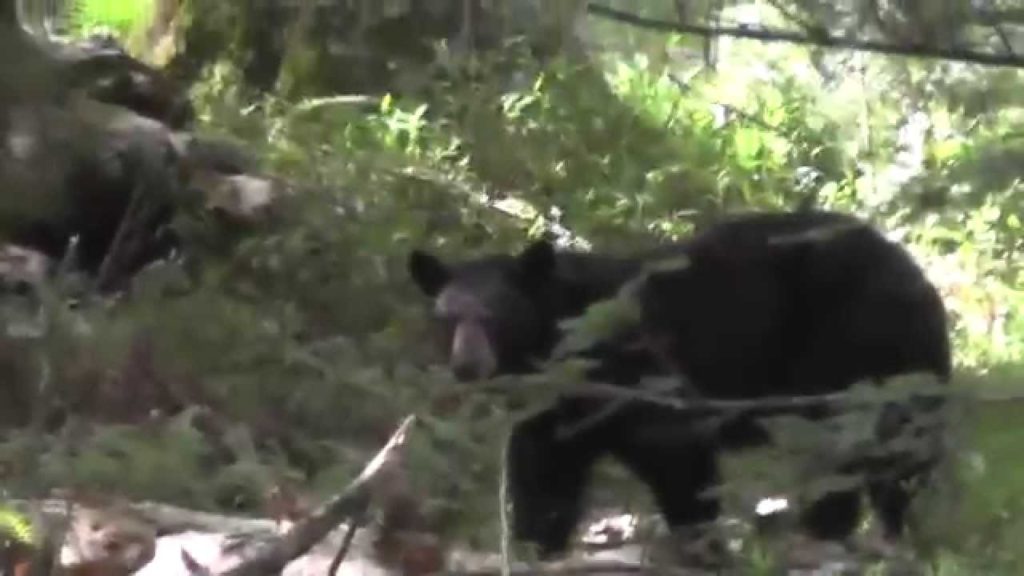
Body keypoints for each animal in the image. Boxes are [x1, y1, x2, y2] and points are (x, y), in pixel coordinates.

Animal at [406, 209, 951, 559]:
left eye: (496, 316)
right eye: (446, 318)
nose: (467, 365)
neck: (563, 339)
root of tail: (920, 279)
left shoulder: (634, 365)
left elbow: (674, 448)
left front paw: (703, 548)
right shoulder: (555, 410)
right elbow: (544, 481)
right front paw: (534, 548)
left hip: (855, 343)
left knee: (863, 450)